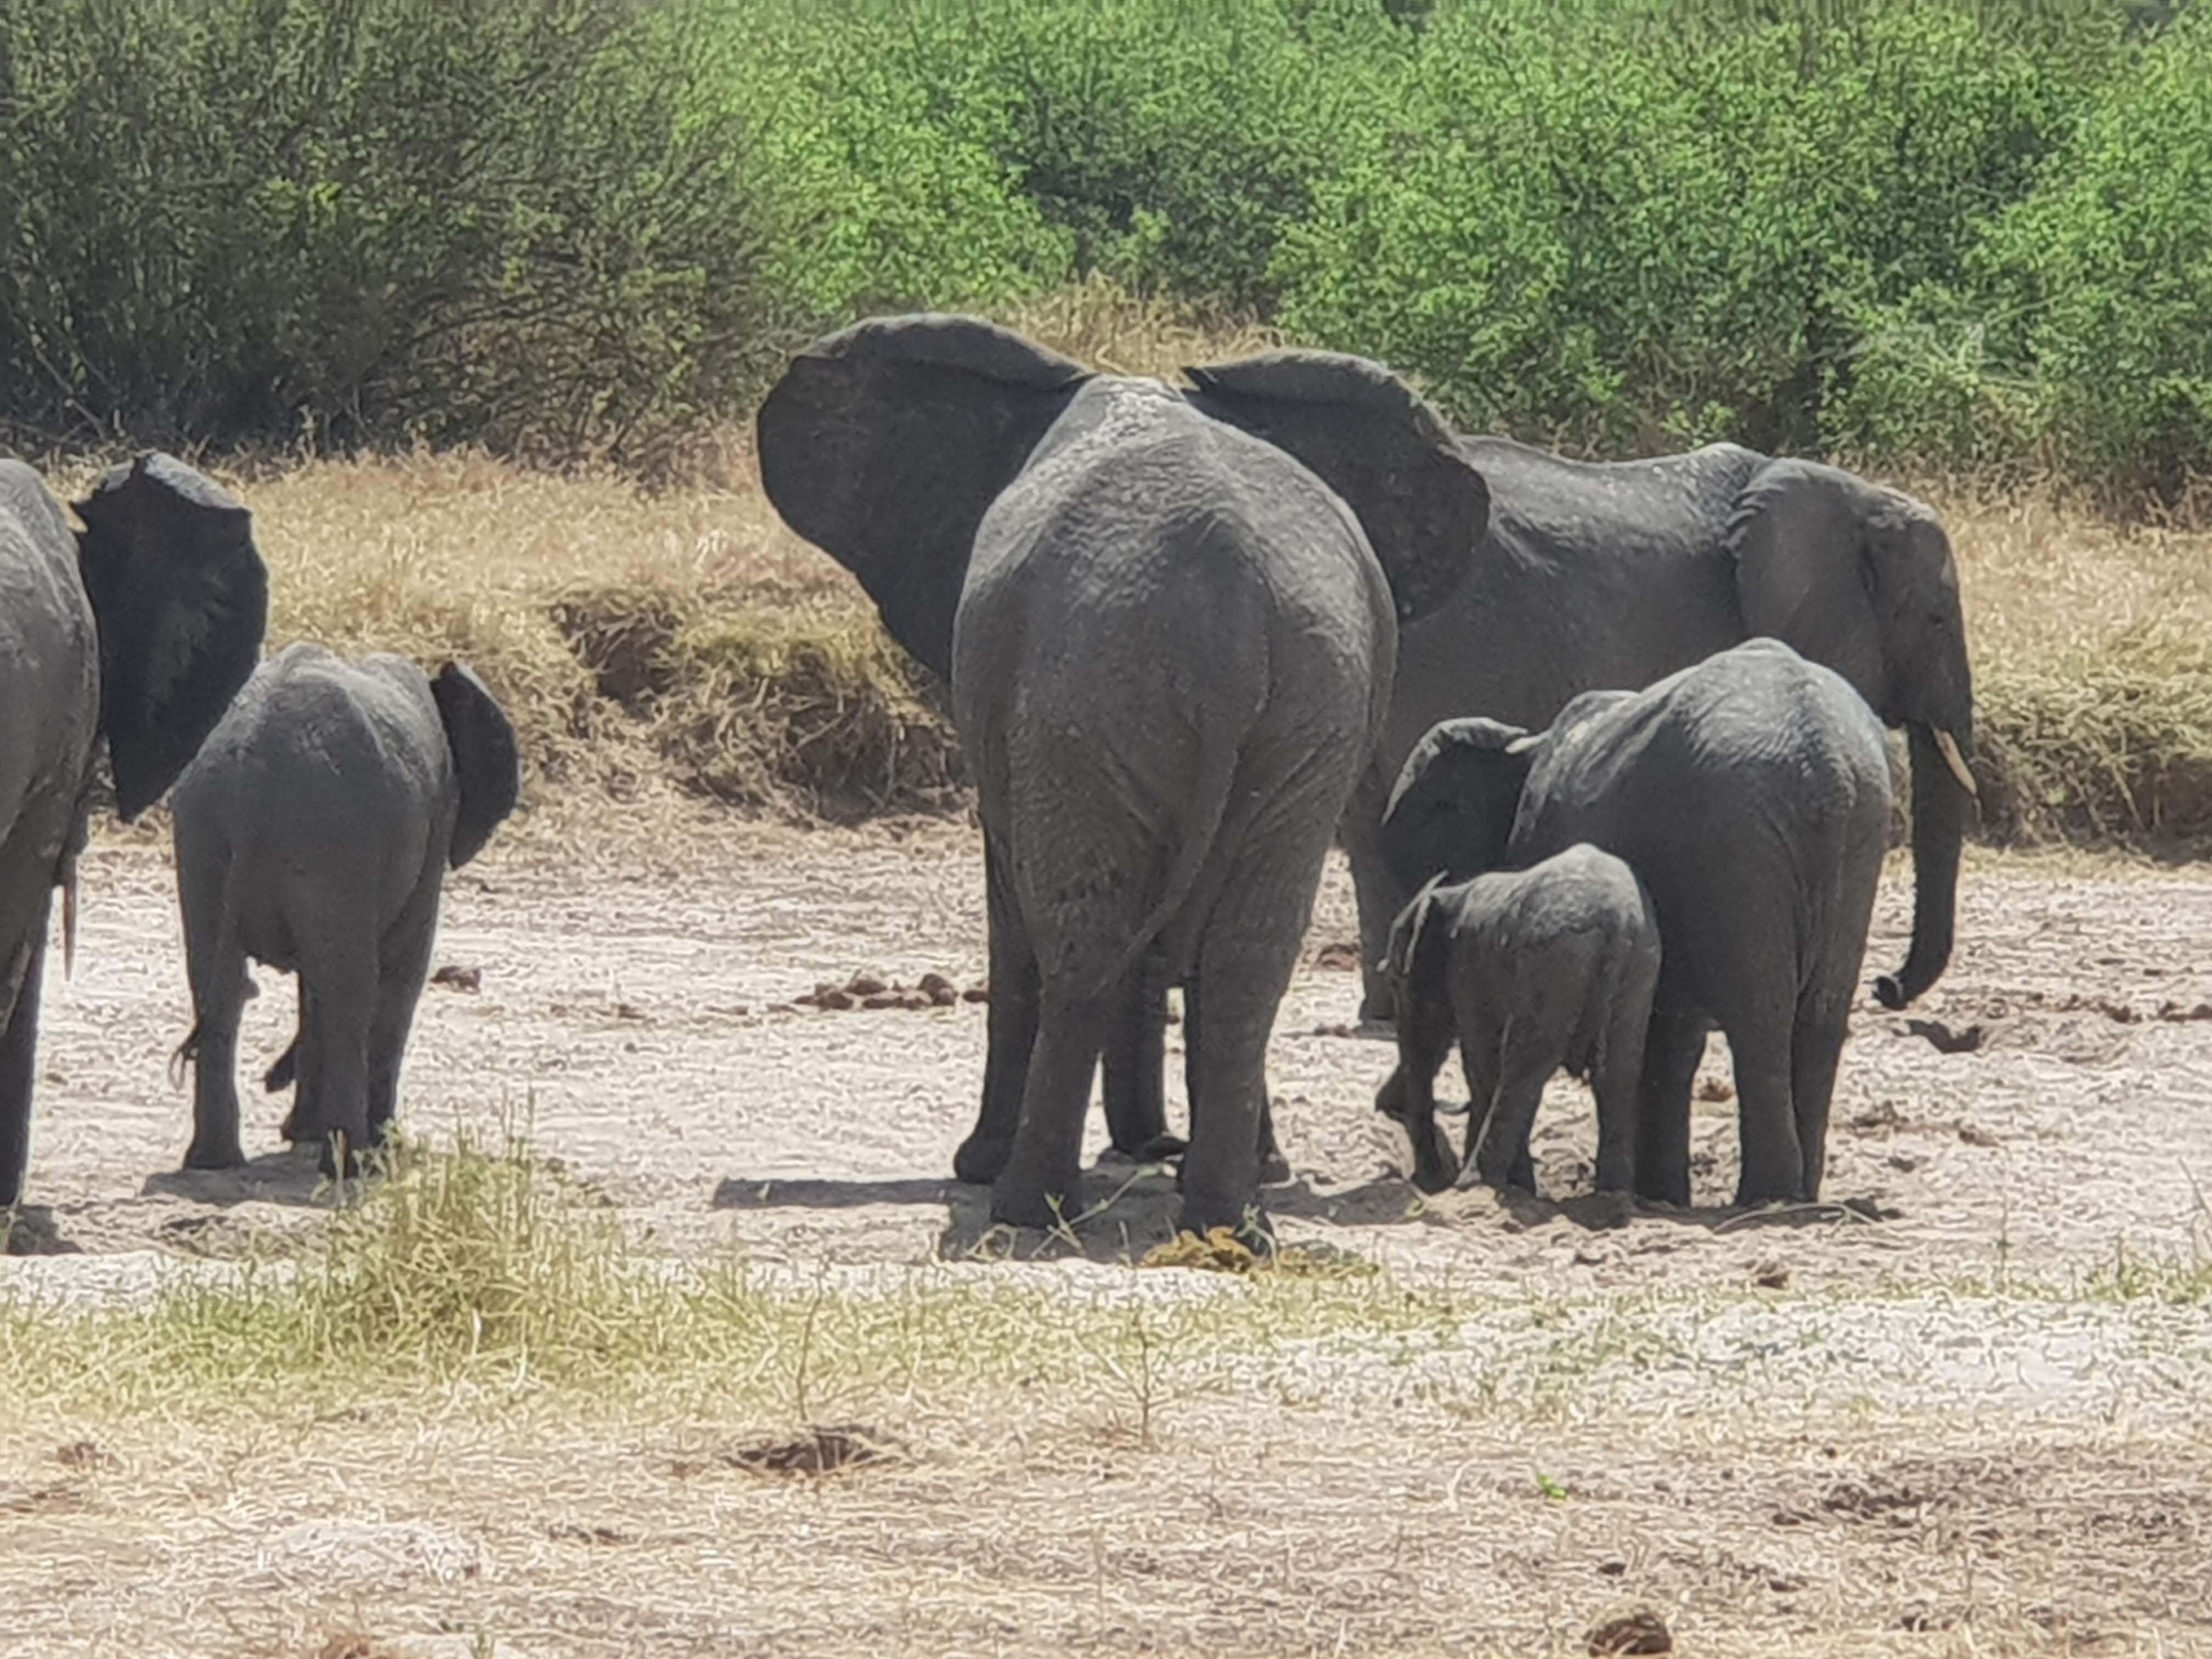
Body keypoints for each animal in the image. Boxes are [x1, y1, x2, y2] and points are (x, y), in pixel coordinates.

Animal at [168, 644, 519, 1175]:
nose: (273, 1080)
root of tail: (251, 774)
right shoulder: (435, 820)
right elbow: (402, 971)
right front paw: (384, 1146)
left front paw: (302, 1134)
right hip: (331, 838)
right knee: (349, 992)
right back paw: (354, 1161)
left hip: (206, 836)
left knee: (219, 987)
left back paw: (215, 1162)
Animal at [756, 313, 1487, 1233]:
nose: (1149, 1144)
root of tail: (1232, 616)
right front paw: (1239, 1165)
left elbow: (1015, 905)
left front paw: (978, 1164)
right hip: (1302, 699)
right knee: (1248, 955)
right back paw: (1225, 1217)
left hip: (1090, 694)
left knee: (1084, 928)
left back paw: (1026, 1204)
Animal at [1374, 845, 1659, 1198]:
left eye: (1395, 984)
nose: (1426, 1182)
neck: (1451, 894)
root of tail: (1618, 927)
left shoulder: (1469, 968)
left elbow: (1481, 1060)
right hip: (1638, 970)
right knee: (1618, 1073)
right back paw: (1612, 1199)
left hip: (1553, 960)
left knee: (1525, 1067)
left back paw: (1475, 1184)